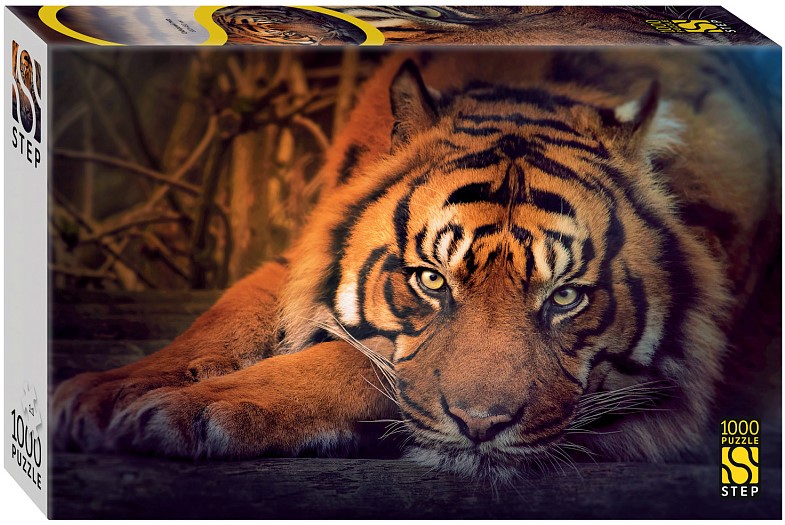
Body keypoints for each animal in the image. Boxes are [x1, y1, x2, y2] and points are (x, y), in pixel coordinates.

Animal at [53, 48, 780, 481]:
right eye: (430, 280)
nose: (482, 428)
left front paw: (187, 407)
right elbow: (227, 315)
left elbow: (357, 360)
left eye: (566, 297)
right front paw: (106, 391)